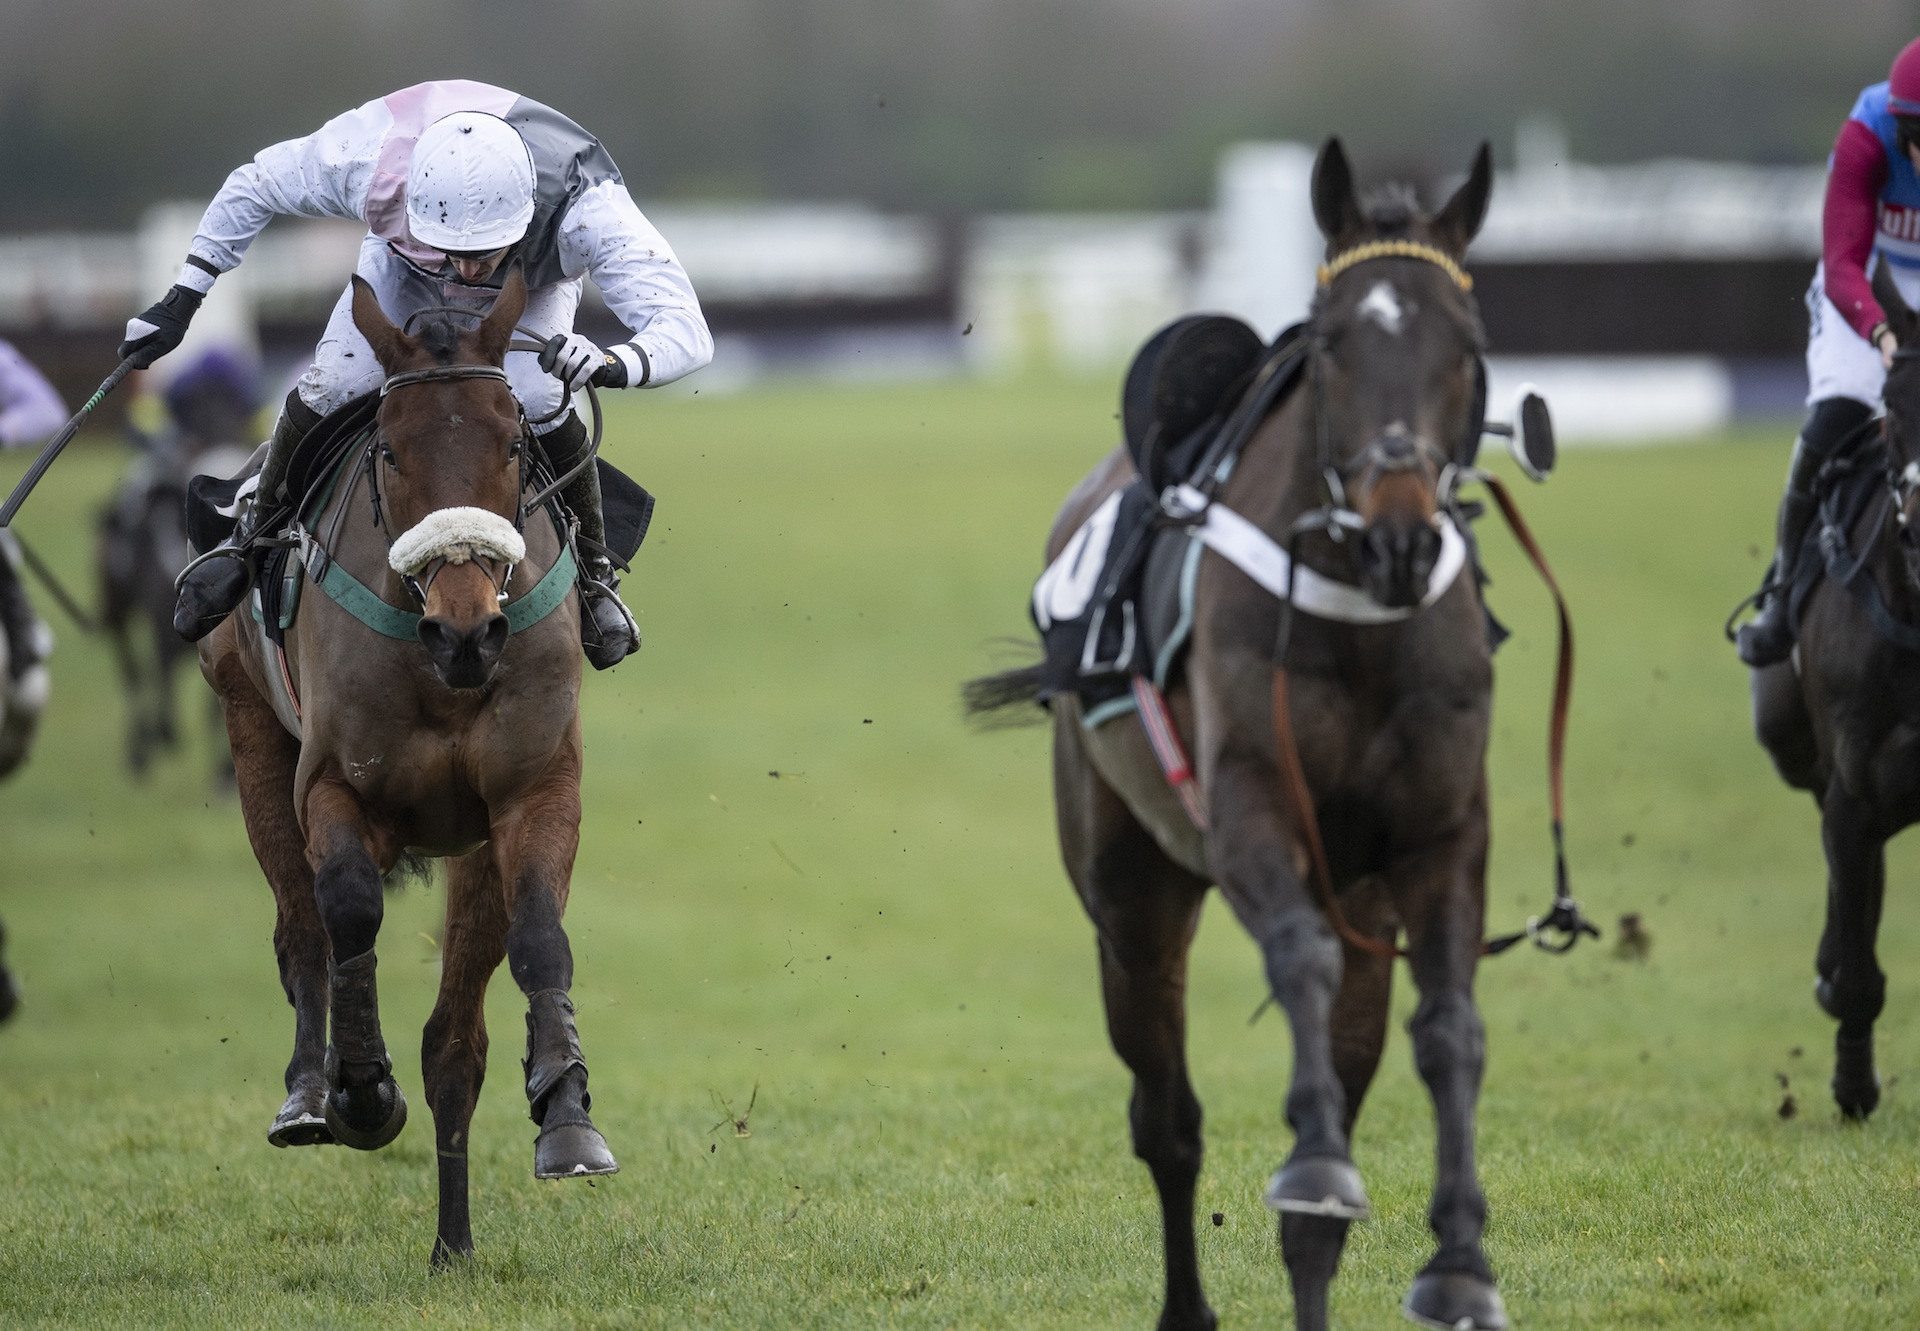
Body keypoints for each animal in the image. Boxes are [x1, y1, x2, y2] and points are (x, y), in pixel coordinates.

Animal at [196, 265, 614, 1259]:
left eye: (514, 443)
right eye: (389, 452)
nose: (466, 630)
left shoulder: (532, 791)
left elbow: (539, 939)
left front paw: (568, 1117)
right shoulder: (333, 785)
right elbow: (346, 908)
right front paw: (358, 1087)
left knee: (454, 1042)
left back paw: (453, 1246)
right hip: (250, 733)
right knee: (300, 928)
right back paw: (311, 1094)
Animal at [967, 140, 1582, 1321]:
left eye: (1468, 345)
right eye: (1334, 342)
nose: (1399, 534)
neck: (1362, 623)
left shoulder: (1435, 839)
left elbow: (1449, 1029)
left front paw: (1458, 1262)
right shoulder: (1252, 801)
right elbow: (1296, 961)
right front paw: (1317, 1164)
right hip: (1132, 890)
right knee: (1165, 1117)